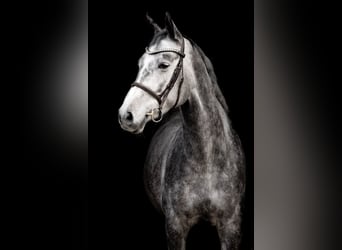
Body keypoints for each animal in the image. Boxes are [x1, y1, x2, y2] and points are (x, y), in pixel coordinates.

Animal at [118, 13, 246, 250]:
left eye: (164, 64)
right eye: (140, 64)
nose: (125, 115)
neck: (207, 162)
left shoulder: (231, 228)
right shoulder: (175, 228)